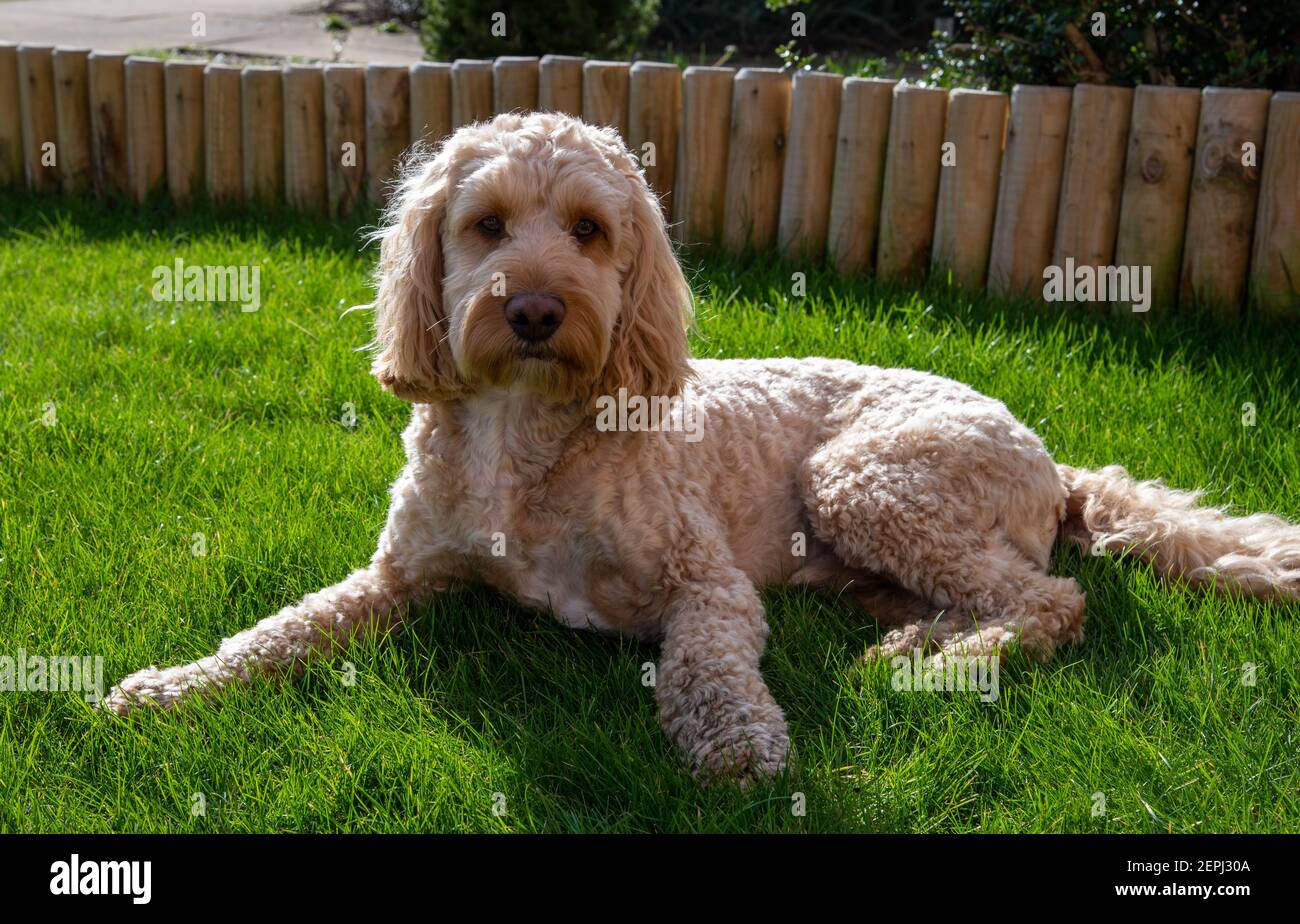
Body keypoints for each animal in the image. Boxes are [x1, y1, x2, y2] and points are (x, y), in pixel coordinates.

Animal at [104, 111, 1300, 784]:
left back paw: (937, 665)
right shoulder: (399, 575)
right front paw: (170, 688)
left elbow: (708, 663)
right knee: (990, 595)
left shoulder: (706, 583)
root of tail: (1054, 460)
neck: (522, 439)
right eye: (485, 225)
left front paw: (733, 745)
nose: (534, 309)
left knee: (1049, 602)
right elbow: (279, 631)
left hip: (862, 477)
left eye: (591, 232)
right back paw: (910, 646)